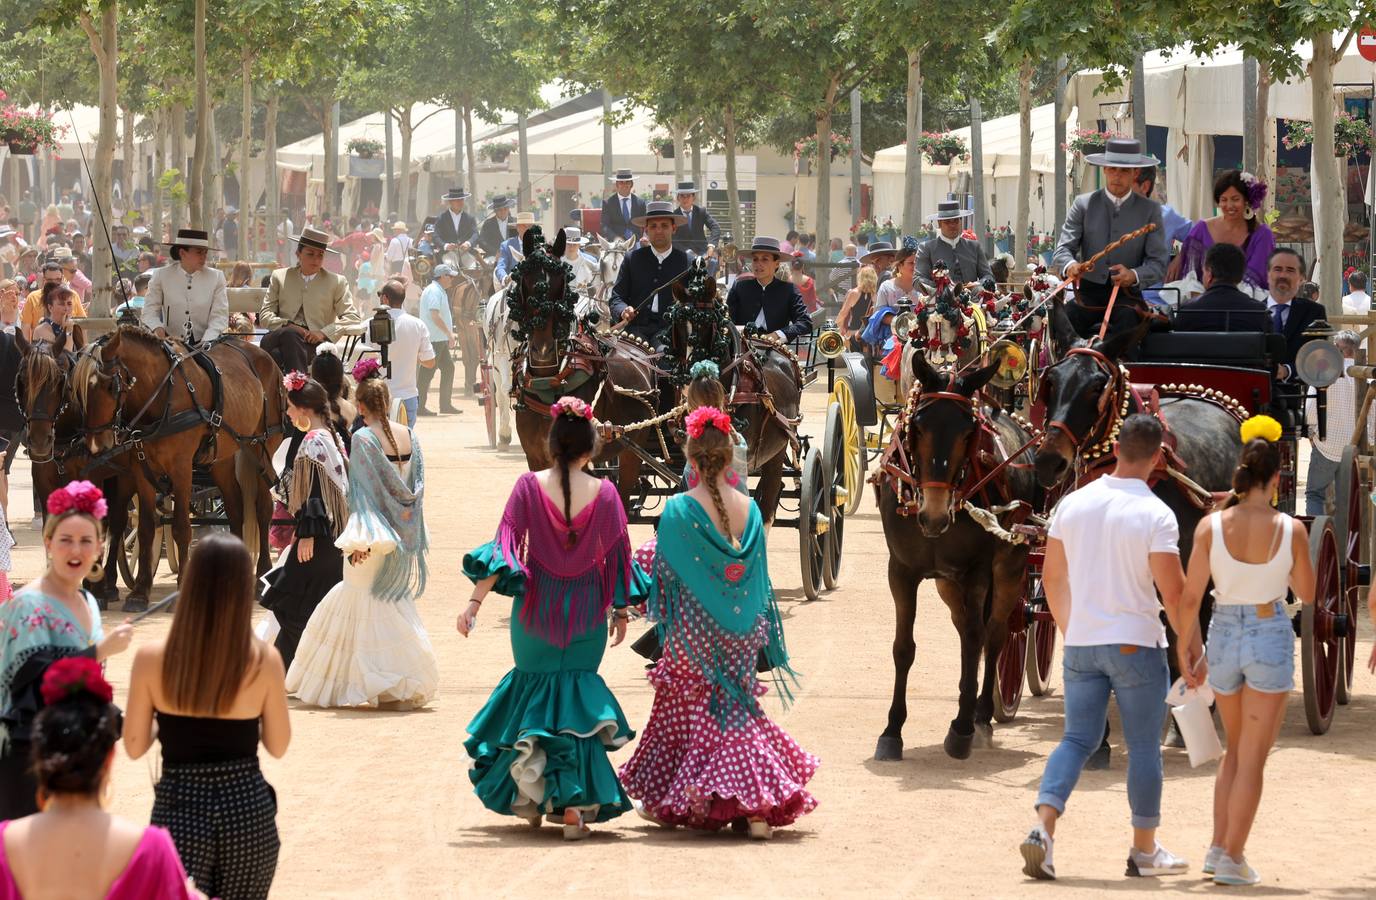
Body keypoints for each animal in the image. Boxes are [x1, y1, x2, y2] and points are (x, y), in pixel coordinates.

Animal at [74, 327, 287, 602]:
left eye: (111, 386)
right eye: (78, 390)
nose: (96, 444)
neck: (163, 397)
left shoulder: (182, 469)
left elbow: (181, 527)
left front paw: (182, 583)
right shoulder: (141, 469)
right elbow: (146, 527)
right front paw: (140, 591)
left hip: (260, 450)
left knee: (262, 509)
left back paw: (261, 577)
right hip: (221, 459)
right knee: (235, 507)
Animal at [875, 352, 1034, 759]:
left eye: (968, 432)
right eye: (917, 426)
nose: (932, 515)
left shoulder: (978, 569)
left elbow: (978, 638)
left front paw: (961, 728)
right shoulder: (901, 571)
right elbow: (903, 648)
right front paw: (892, 730)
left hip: (1010, 565)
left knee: (995, 632)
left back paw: (981, 714)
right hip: (947, 582)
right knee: (965, 627)